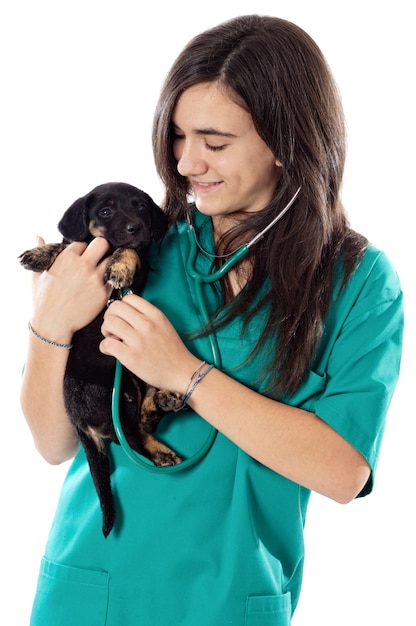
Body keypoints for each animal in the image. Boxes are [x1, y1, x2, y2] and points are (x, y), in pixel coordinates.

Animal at [19, 182, 182, 536]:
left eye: (141, 206)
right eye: (105, 211)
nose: (136, 228)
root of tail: (79, 423)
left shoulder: (140, 267)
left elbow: (128, 252)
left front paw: (118, 266)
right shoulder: (83, 247)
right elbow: (69, 244)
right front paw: (39, 254)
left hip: (127, 380)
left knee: (136, 432)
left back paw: (163, 425)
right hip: (120, 390)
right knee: (134, 432)